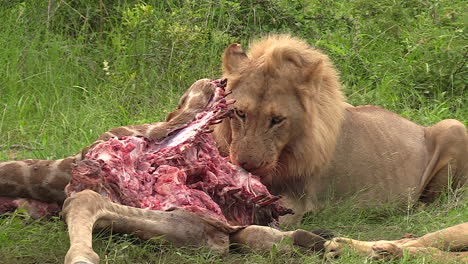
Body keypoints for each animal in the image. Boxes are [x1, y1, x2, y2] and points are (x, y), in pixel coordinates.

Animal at [214, 34, 468, 225]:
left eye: (277, 120)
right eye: (240, 113)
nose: (248, 165)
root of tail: (417, 126)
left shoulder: (293, 202)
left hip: (454, 126)